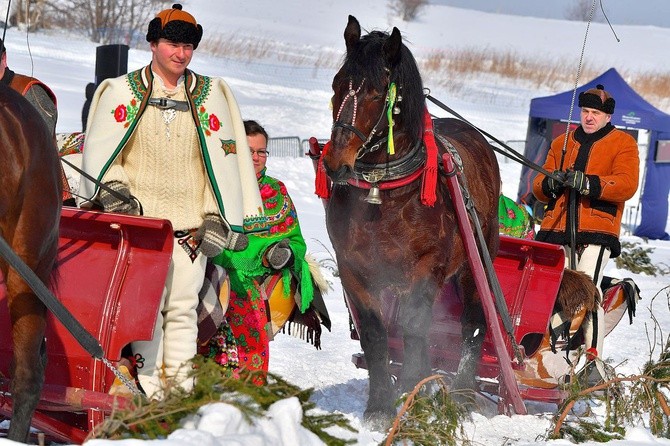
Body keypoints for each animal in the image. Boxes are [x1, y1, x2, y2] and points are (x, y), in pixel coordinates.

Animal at [322, 15, 502, 424]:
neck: (385, 195)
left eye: (377, 94)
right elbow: (376, 333)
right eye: (338, 83)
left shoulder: (427, 265)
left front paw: (412, 390)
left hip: (473, 264)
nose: (336, 163)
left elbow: (416, 326)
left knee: (473, 323)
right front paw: (379, 405)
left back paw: (462, 394)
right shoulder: (354, 267)